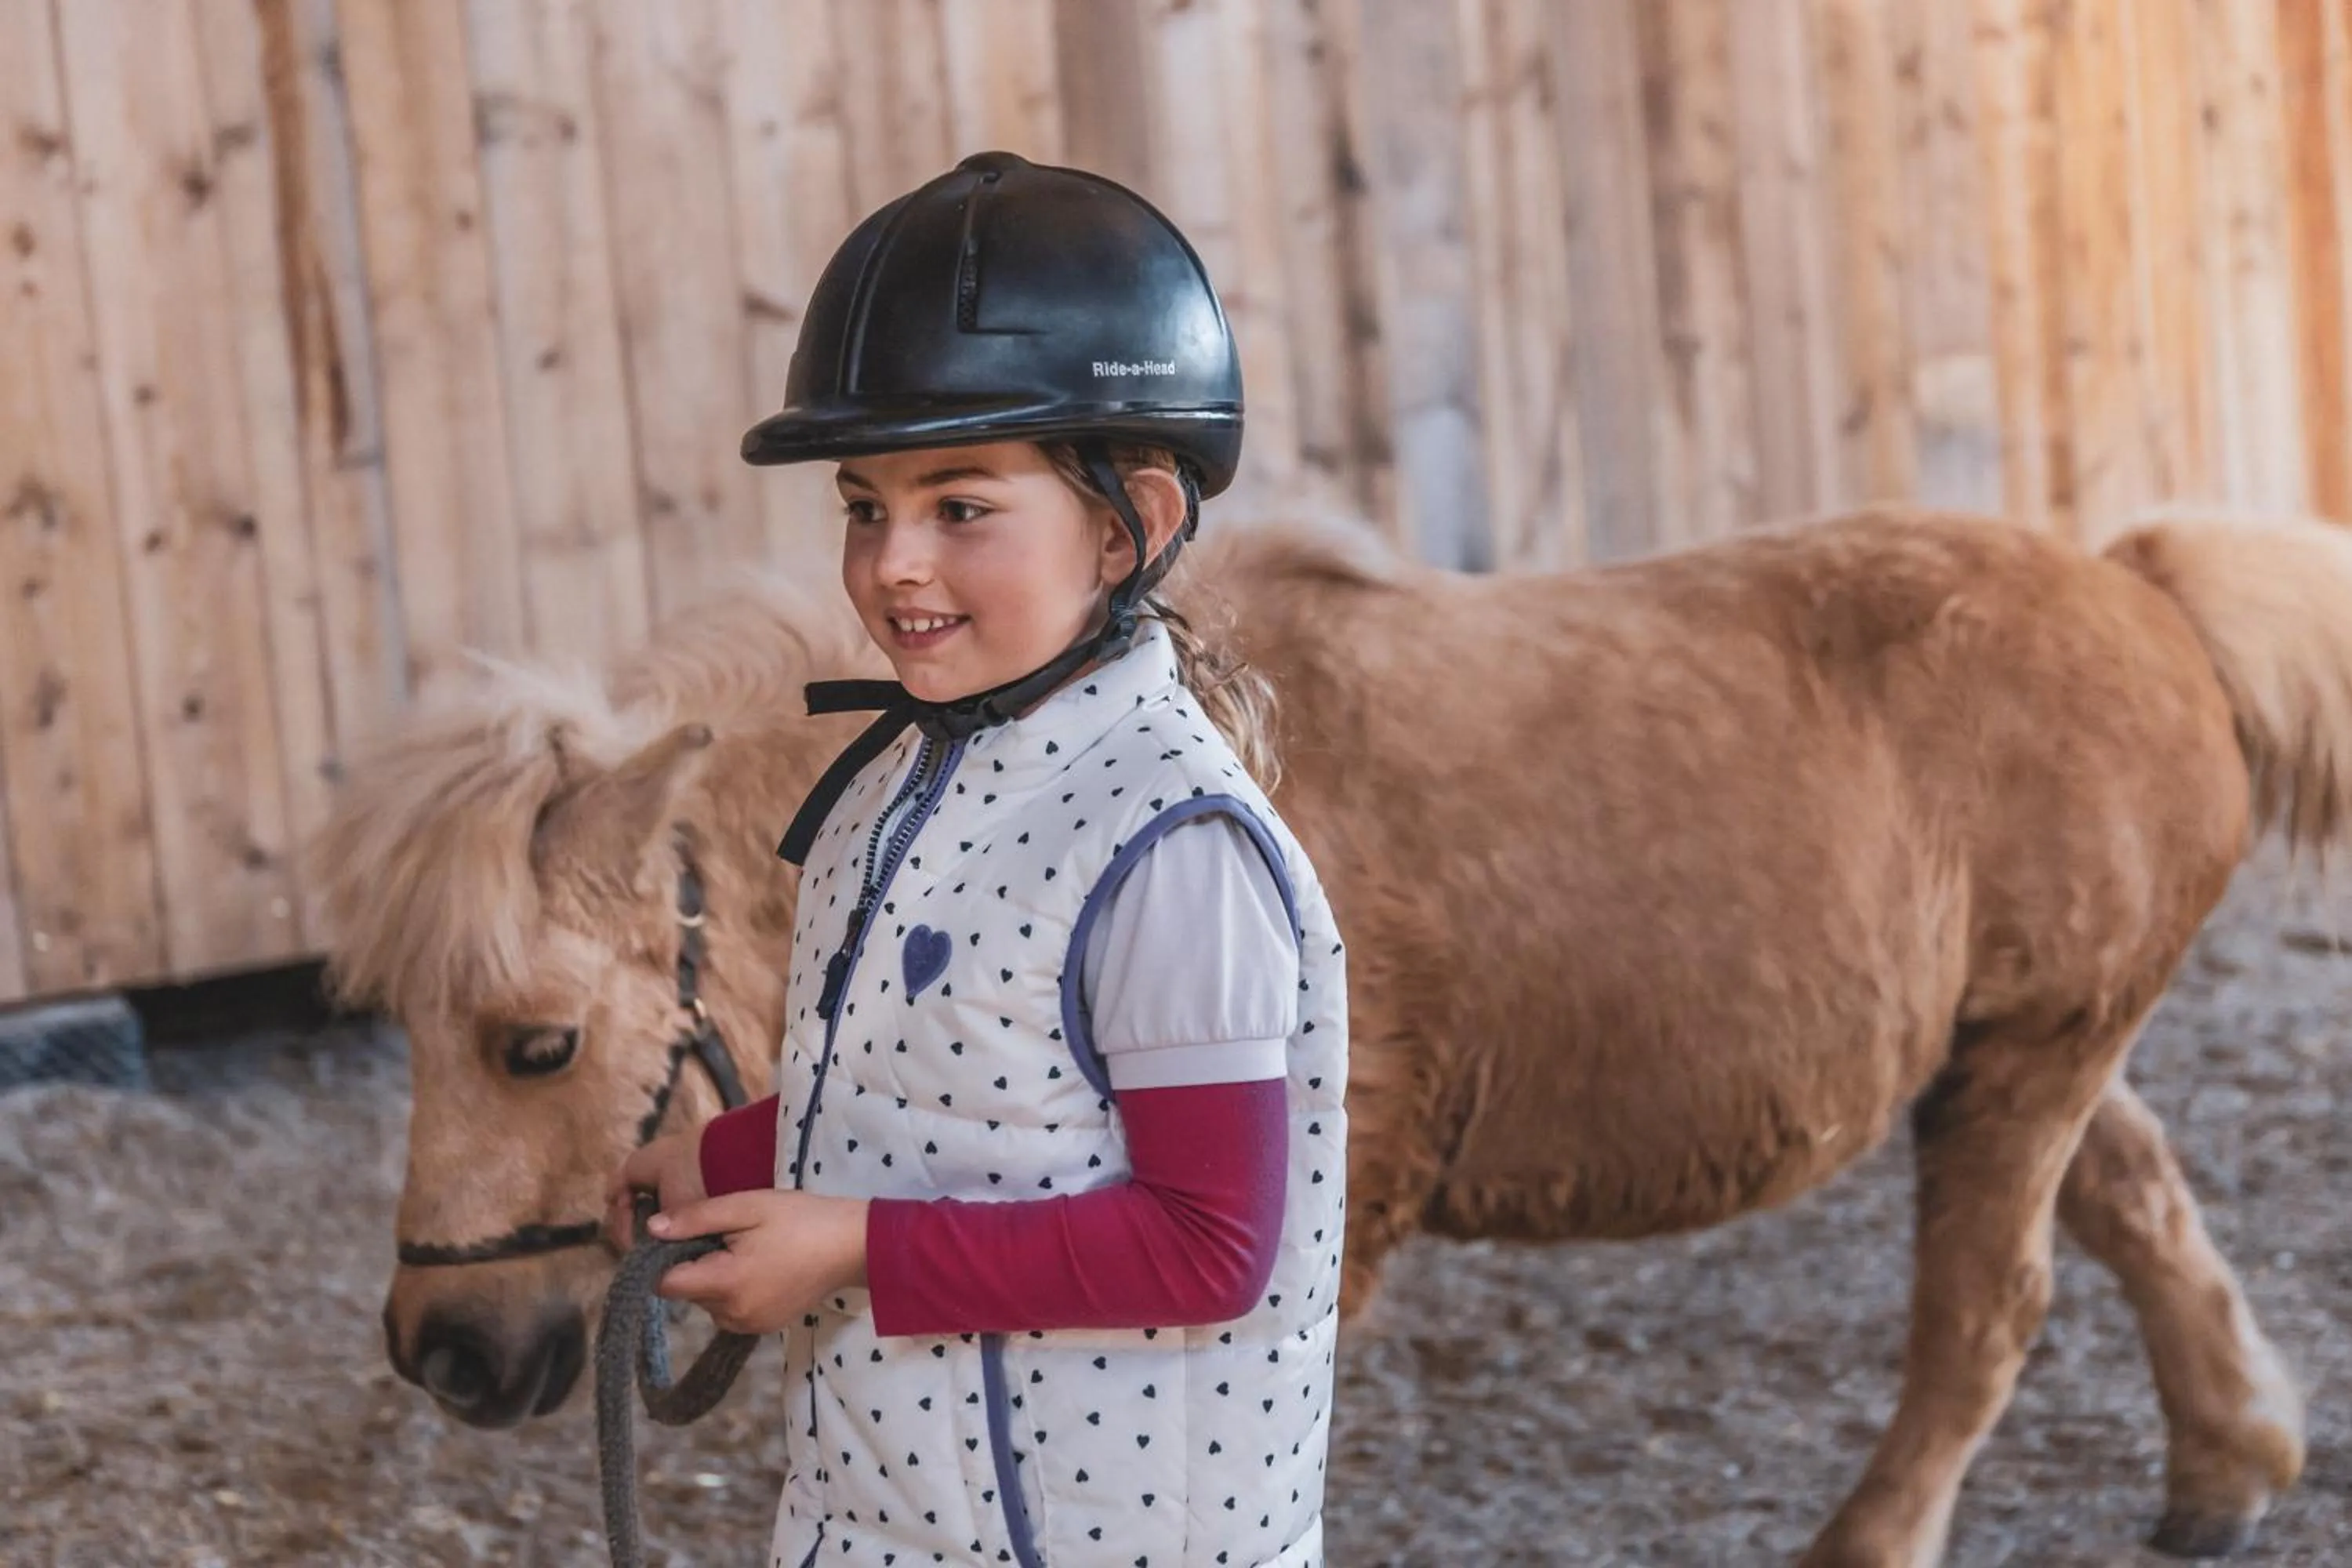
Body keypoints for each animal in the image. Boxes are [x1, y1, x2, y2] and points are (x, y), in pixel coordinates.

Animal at [313, 502, 2352, 1566]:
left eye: (530, 1046)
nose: (439, 1347)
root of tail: (2135, 578)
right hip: (2014, 1048)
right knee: (2137, 1204)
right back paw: (2229, 1459)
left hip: (2030, 1050)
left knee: (1987, 1313)